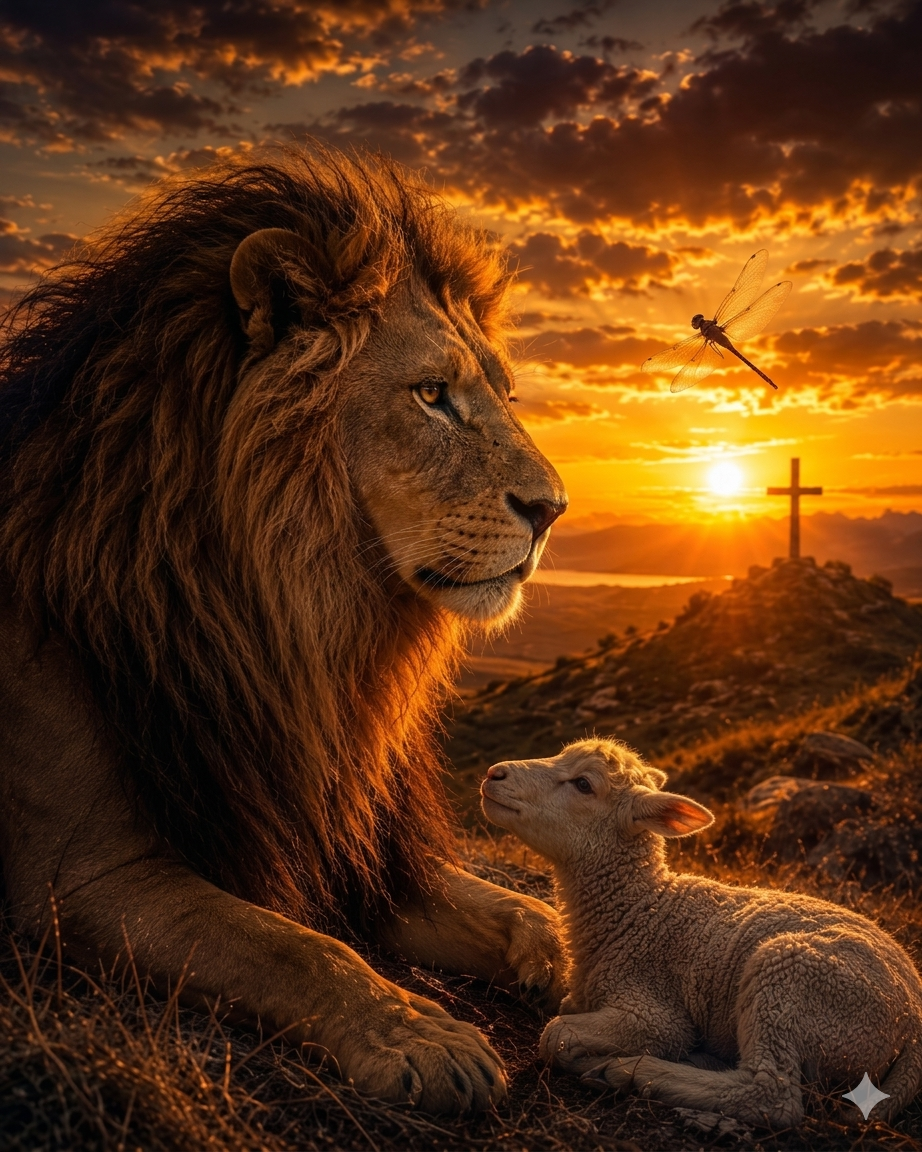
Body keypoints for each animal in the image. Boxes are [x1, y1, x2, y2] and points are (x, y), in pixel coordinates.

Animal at [0, 145, 568, 1115]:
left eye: (504, 394)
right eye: (432, 396)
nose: (554, 511)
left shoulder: (331, 824)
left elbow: (519, 911)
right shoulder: (76, 874)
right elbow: (294, 946)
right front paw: (419, 1038)